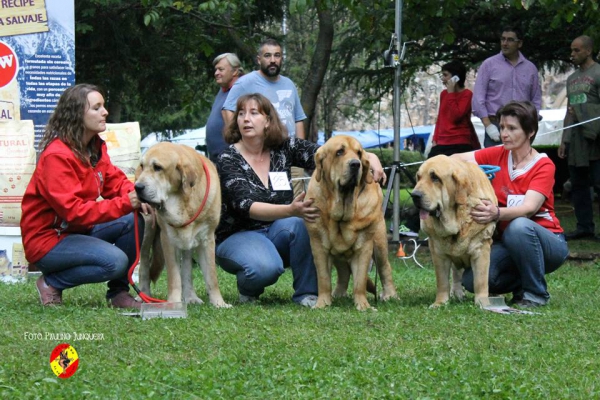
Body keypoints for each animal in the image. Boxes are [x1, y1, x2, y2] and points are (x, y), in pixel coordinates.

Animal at [134, 142, 230, 308]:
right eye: (143, 165)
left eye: (157, 167)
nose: (137, 187)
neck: (182, 202)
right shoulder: (168, 240)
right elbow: (174, 276)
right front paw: (173, 302)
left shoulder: (207, 239)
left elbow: (211, 276)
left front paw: (219, 303)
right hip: (147, 229)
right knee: (144, 263)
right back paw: (144, 294)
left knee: (186, 266)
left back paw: (190, 297)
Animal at [304, 136, 398, 310]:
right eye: (339, 152)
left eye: (359, 153)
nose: (356, 164)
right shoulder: (319, 246)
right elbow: (324, 280)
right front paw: (322, 303)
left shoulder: (365, 247)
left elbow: (360, 282)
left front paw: (363, 306)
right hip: (338, 255)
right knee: (343, 272)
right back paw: (338, 293)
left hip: (379, 243)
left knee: (385, 268)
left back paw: (390, 295)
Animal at [412, 155, 496, 308]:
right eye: (418, 177)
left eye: (435, 177)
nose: (414, 195)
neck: (457, 220)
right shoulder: (438, 252)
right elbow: (442, 281)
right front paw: (440, 303)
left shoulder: (481, 249)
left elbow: (480, 281)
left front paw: (483, 303)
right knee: (456, 274)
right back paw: (457, 293)